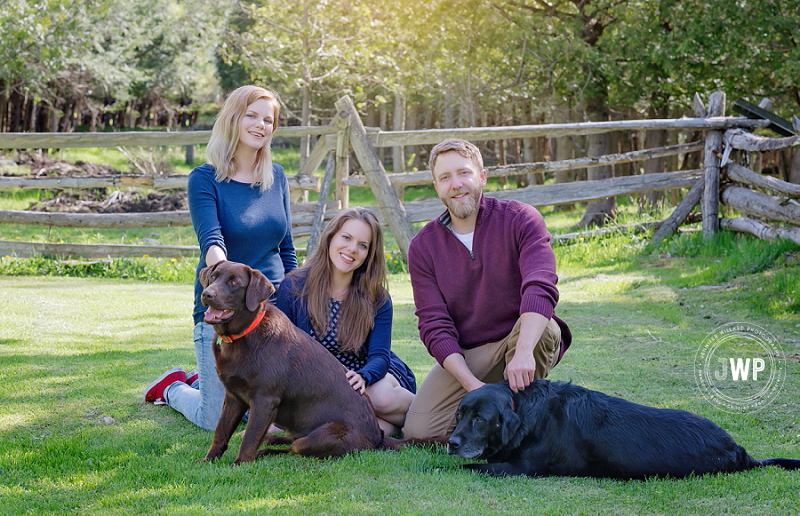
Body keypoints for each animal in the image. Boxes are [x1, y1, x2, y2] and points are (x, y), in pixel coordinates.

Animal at [446, 378, 796, 480]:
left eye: (480, 419)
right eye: (459, 415)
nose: (451, 442)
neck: (529, 410)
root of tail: (739, 451)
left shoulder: (523, 468)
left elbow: (467, 467)